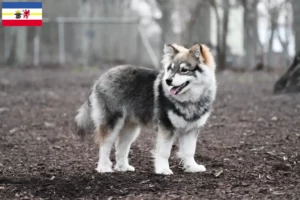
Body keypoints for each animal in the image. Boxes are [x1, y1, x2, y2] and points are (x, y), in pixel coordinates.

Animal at [74, 43, 216, 175]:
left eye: (184, 70)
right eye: (171, 69)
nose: (168, 80)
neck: (190, 100)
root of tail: (101, 78)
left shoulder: (191, 129)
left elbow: (189, 151)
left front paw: (192, 167)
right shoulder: (166, 127)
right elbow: (164, 152)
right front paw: (163, 169)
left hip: (130, 128)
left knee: (121, 147)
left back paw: (123, 167)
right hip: (112, 122)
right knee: (105, 145)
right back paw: (103, 168)